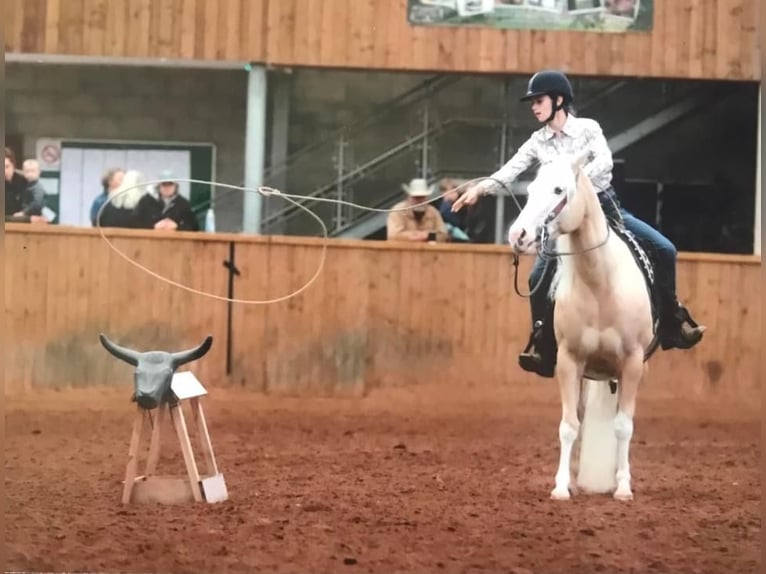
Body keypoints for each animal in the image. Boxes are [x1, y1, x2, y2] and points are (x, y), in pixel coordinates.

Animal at [510, 153, 660, 504]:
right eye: (530, 189)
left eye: (558, 189)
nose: (518, 235)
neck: (599, 283)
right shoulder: (569, 361)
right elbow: (569, 425)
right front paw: (562, 487)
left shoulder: (632, 363)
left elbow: (624, 427)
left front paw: (623, 487)